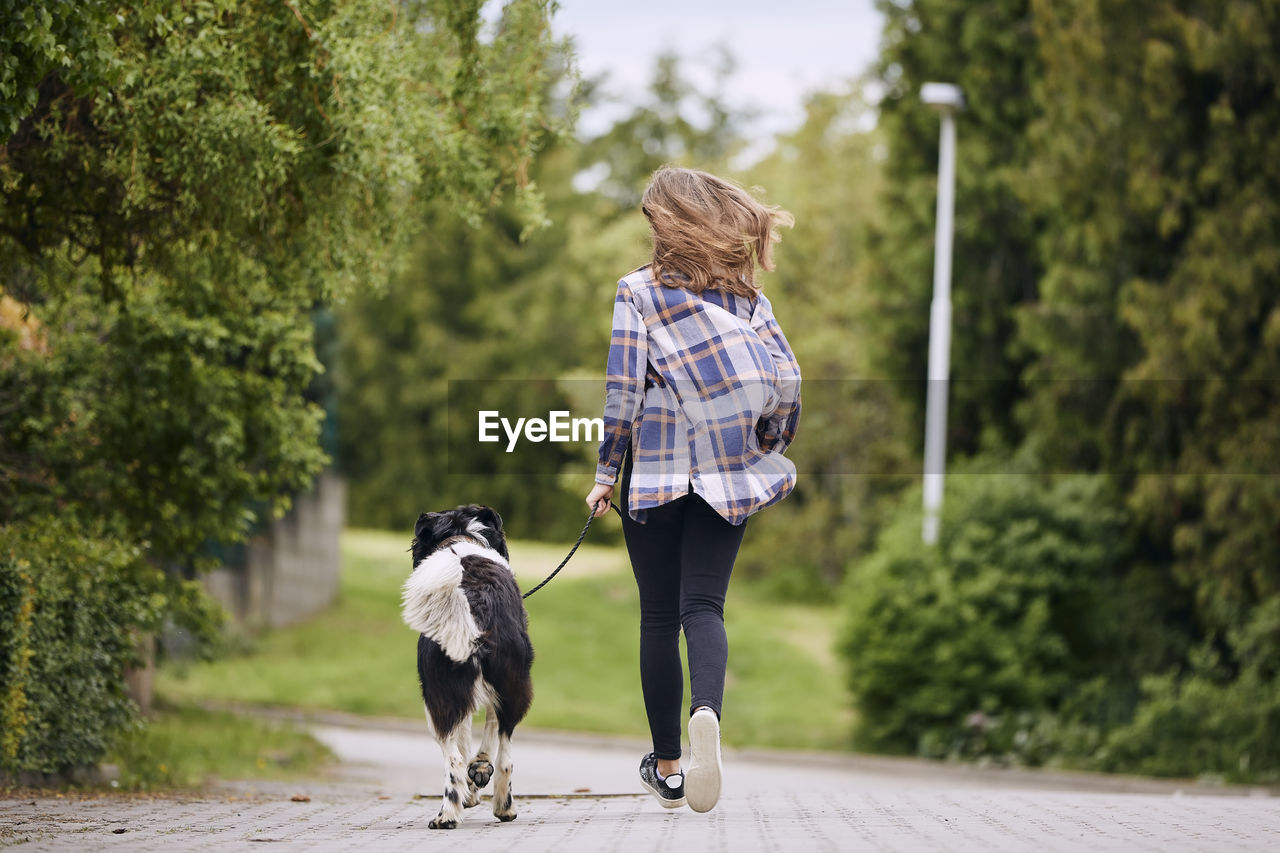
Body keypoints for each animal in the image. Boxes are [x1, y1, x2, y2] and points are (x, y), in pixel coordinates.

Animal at [404, 502, 535, 824]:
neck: (461, 536)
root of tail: (473, 600)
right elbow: (487, 727)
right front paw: (479, 772)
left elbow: (465, 736)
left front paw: (470, 788)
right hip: (514, 681)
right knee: (504, 752)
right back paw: (498, 806)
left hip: (438, 692)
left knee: (453, 756)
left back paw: (451, 812)